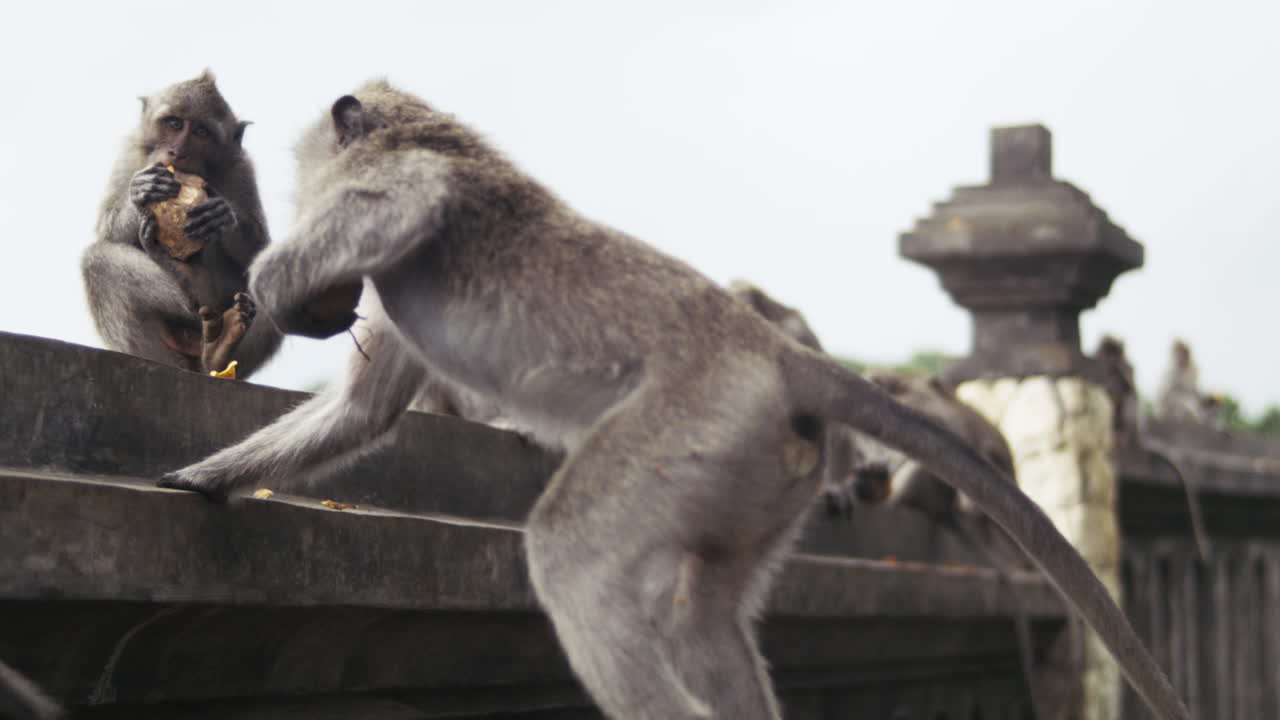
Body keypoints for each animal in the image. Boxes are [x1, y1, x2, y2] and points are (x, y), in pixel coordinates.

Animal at [81, 71, 281, 378]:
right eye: (174, 123)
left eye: (201, 132)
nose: (177, 153)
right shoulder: (130, 153)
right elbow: (107, 230)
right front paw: (143, 190)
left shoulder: (241, 168)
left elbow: (258, 250)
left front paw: (223, 216)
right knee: (98, 262)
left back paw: (217, 354)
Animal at [157, 82, 1191, 720]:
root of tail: (773, 353)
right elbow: (363, 416)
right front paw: (203, 478)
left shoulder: (403, 181)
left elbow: (409, 201)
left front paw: (275, 279)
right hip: (759, 465)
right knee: (702, 615)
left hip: (695, 422)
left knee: (572, 550)